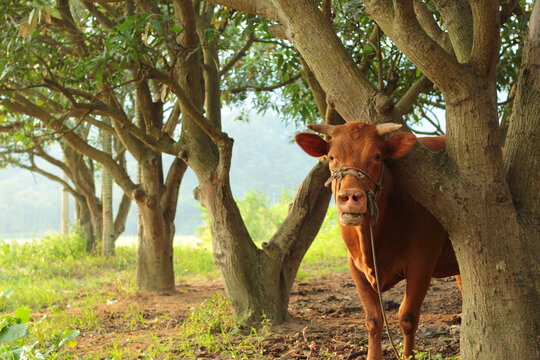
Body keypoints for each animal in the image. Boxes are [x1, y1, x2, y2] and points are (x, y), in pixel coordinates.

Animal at [296, 121, 460, 360]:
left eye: (376, 156)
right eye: (332, 157)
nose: (350, 197)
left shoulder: (422, 263)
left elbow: (407, 317)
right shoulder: (355, 266)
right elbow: (373, 319)